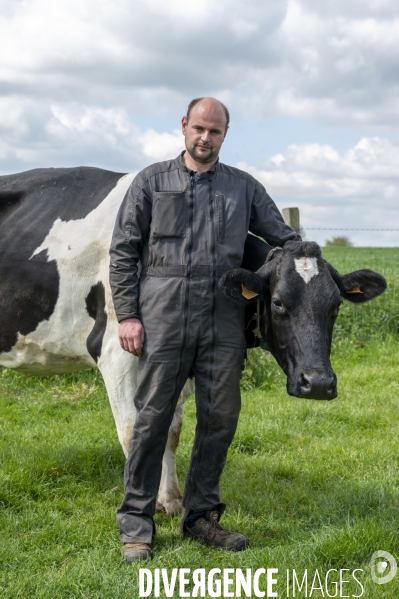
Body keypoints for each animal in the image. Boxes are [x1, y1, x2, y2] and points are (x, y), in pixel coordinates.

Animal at [0, 166, 388, 512]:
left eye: (336, 305)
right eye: (278, 302)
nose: (318, 383)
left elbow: (170, 431)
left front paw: (170, 500)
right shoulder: (116, 354)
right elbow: (134, 431)